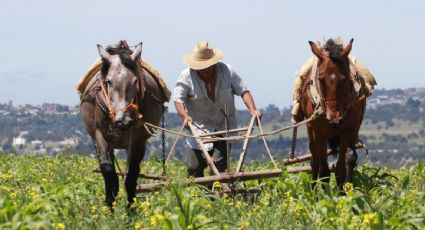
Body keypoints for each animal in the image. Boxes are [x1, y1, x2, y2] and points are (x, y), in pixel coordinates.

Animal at [79, 41, 166, 207]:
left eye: (135, 81)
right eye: (109, 81)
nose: (123, 120)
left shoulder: (138, 140)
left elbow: (132, 174)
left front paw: (131, 208)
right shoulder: (100, 134)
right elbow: (107, 167)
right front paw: (110, 201)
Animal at [300, 38, 366, 190]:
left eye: (345, 78)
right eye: (320, 78)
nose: (334, 119)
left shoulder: (345, 133)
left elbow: (341, 169)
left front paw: (341, 193)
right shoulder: (319, 134)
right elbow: (323, 170)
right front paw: (325, 195)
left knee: (349, 157)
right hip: (311, 131)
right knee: (315, 161)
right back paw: (312, 189)